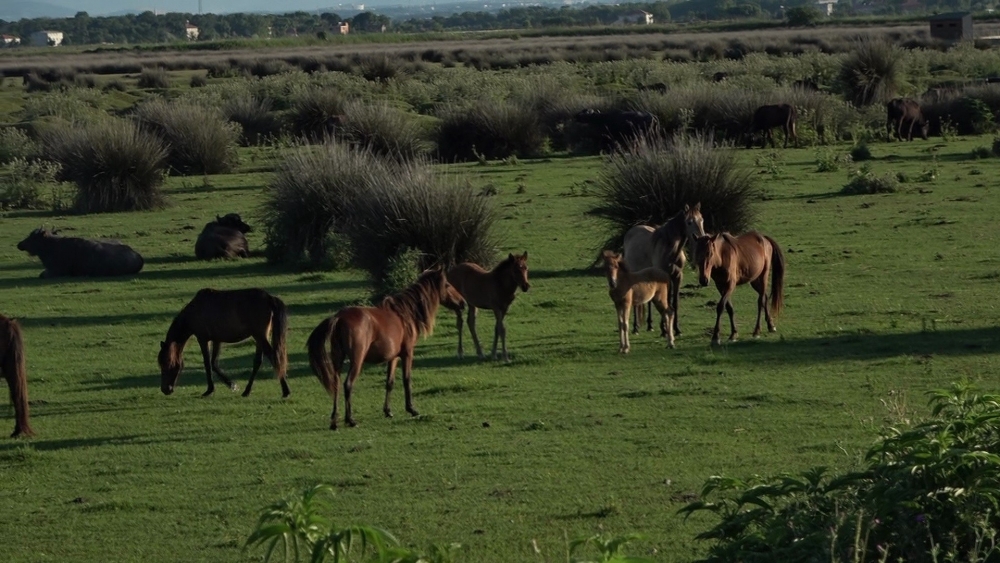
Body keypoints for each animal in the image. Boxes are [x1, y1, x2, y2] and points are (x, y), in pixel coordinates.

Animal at [157, 288, 290, 398]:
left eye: (167, 363)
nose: (165, 389)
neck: (195, 310)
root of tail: (269, 297)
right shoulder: (217, 340)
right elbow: (214, 363)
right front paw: (232, 385)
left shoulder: (203, 339)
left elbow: (207, 363)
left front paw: (209, 390)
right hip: (260, 337)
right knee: (258, 361)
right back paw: (247, 391)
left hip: (259, 336)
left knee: (273, 357)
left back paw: (285, 391)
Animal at [304, 268, 464, 432]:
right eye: (447, 285)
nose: (462, 302)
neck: (404, 314)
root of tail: (339, 318)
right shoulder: (407, 353)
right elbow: (407, 379)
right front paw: (412, 409)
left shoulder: (393, 357)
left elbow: (390, 382)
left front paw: (388, 411)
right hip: (356, 361)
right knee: (348, 385)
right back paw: (351, 420)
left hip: (337, 359)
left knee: (335, 385)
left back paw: (334, 422)